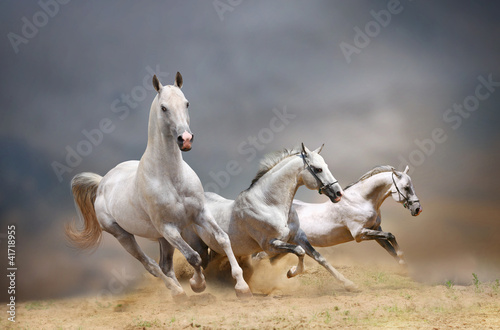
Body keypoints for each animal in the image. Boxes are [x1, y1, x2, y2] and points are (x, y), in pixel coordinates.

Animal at [67, 72, 252, 300]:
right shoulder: (169, 228)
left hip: (161, 238)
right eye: (164, 107)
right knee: (152, 266)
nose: (185, 139)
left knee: (165, 266)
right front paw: (197, 284)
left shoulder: (200, 214)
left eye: (186, 103)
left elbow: (223, 239)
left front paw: (242, 286)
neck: (172, 179)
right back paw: (177, 291)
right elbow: (194, 256)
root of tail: (102, 182)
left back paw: (179, 293)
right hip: (124, 236)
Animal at [182, 144, 358, 292]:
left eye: (326, 166)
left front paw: (349, 284)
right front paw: (291, 272)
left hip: (216, 249)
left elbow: (319, 258)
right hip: (199, 246)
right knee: (200, 264)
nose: (338, 193)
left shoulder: (298, 236)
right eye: (318, 169)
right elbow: (299, 252)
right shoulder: (270, 245)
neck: (269, 204)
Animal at [292, 165, 422, 266]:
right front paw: (402, 256)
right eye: (406, 187)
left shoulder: (376, 230)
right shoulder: (359, 234)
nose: (418, 209)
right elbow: (391, 236)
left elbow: (391, 250)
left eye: (413, 186)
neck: (360, 201)